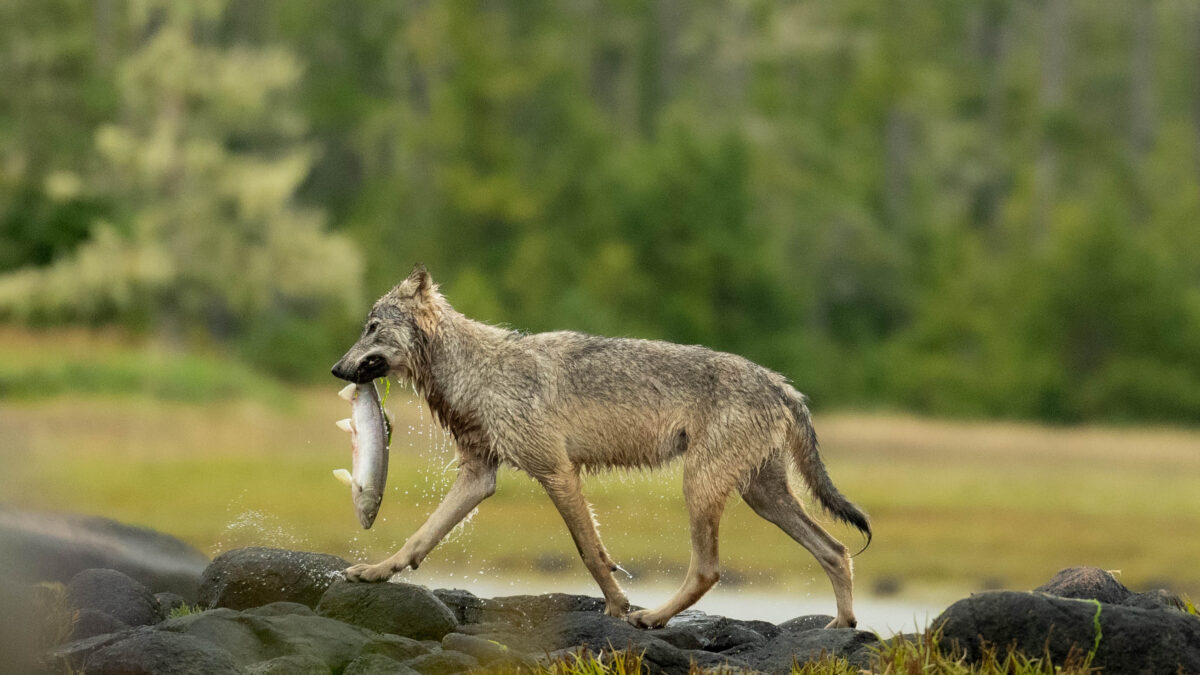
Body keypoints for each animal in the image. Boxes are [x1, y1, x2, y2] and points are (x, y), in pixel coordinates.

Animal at [331, 264, 871, 629]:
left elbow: (590, 553)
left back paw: (651, 618)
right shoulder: (478, 476)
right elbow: (419, 537)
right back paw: (841, 627)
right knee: (836, 549)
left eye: (371, 328)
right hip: (762, 496)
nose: (337, 369)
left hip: (701, 487)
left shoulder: (557, 472)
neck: (476, 371)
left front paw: (616, 606)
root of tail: (784, 385)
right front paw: (376, 572)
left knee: (709, 570)